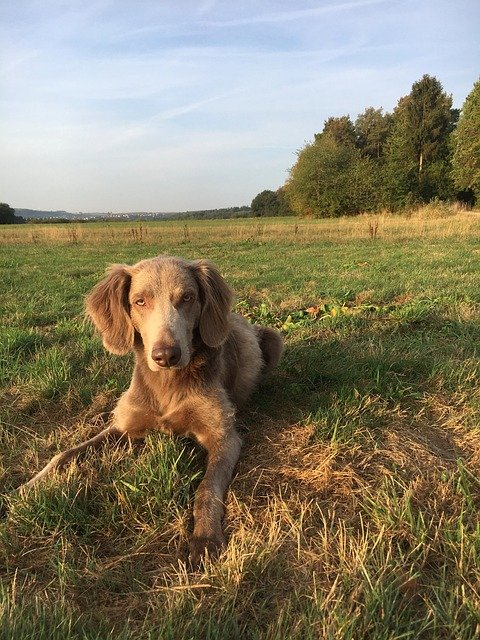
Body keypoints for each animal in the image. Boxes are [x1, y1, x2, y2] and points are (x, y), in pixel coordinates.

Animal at [22, 255, 284, 564]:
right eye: (140, 301)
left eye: (187, 297)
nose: (166, 355)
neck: (167, 385)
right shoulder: (124, 427)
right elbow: (64, 454)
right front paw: (30, 486)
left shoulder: (225, 438)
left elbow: (207, 488)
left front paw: (205, 537)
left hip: (273, 338)